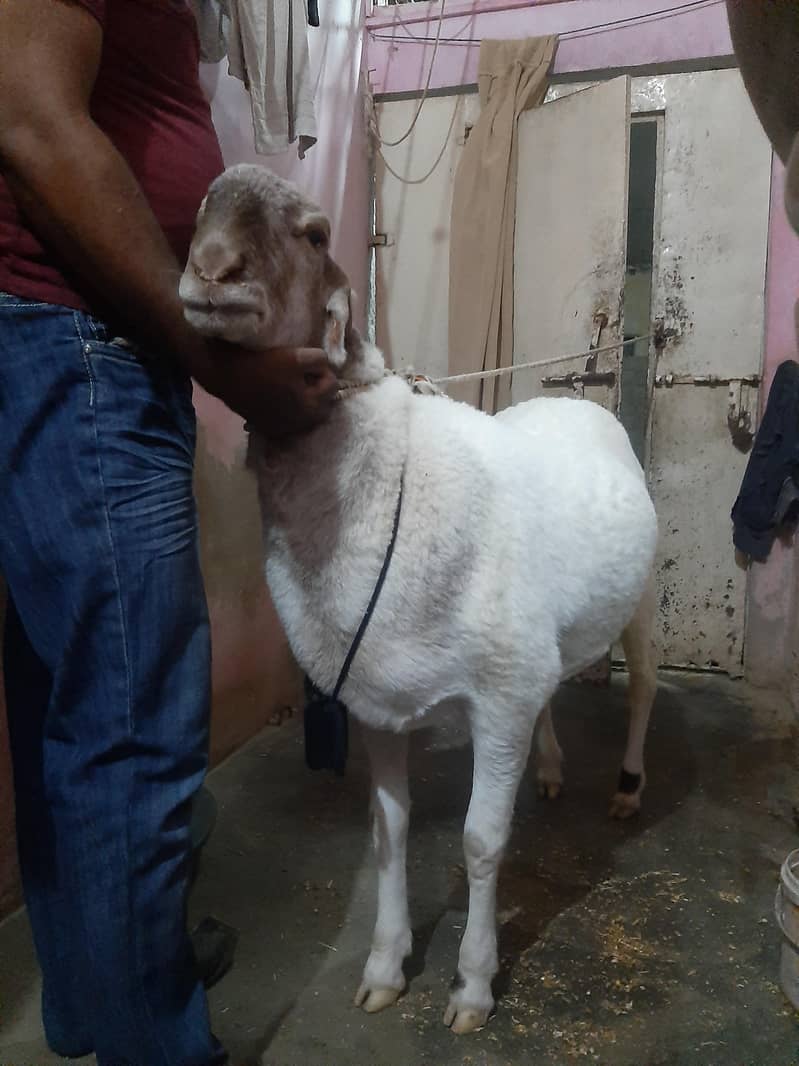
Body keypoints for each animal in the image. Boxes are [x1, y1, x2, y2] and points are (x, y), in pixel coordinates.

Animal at [179, 164, 659, 1035]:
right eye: (201, 209)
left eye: (314, 233)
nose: (211, 272)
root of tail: (572, 398)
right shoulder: (382, 700)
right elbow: (389, 831)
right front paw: (382, 968)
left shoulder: (496, 700)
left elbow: (479, 841)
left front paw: (471, 986)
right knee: (552, 692)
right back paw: (549, 770)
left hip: (639, 599)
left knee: (641, 685)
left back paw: (627, 787)